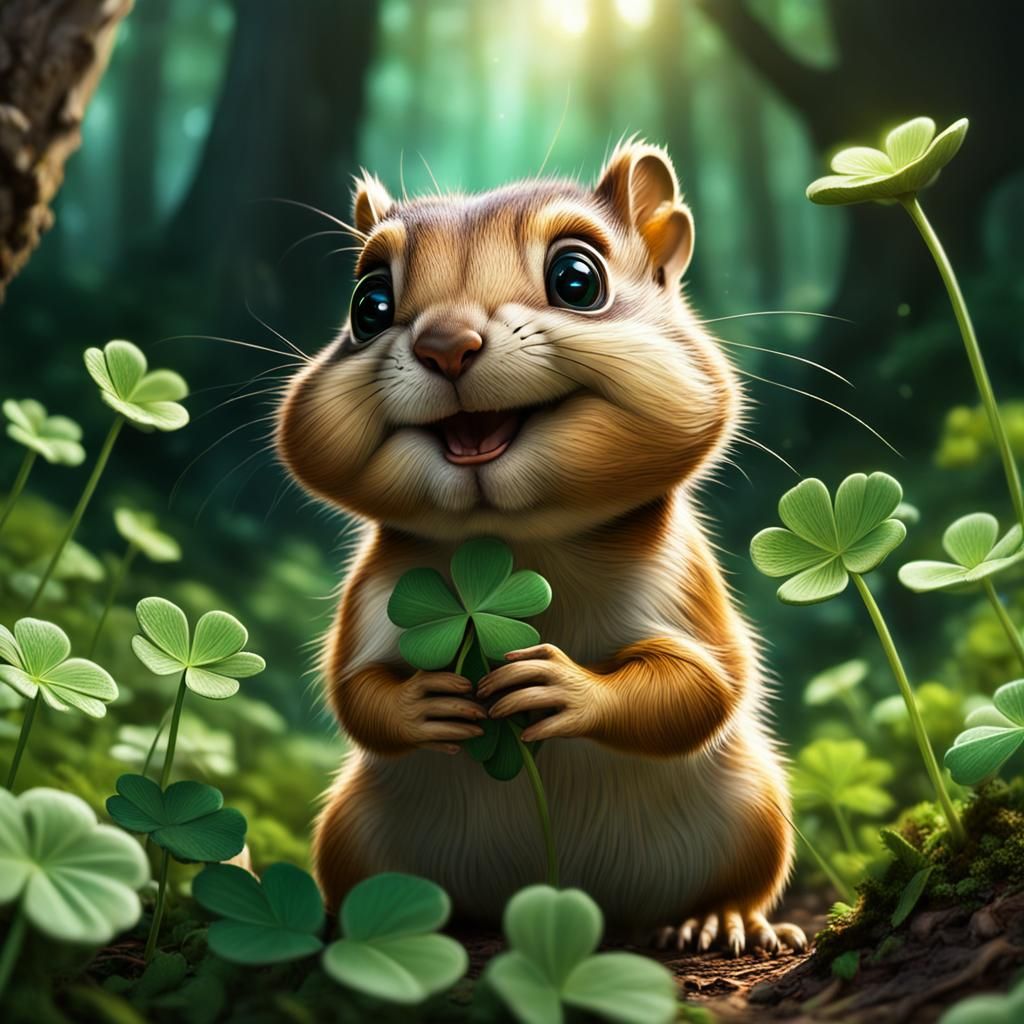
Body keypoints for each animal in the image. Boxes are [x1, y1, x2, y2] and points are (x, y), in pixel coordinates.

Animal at [277, 140, 807, 956]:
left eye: (577, 280)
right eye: (368, 304)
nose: (445, 345)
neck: (520, 542)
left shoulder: (686, 584)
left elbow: (702, 685)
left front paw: (566, 686)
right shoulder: (374, 592)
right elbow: (353, 690)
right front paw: (422, 702)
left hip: (757, 814)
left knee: (739, 878)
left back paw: (720, 920)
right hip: (350, 831)